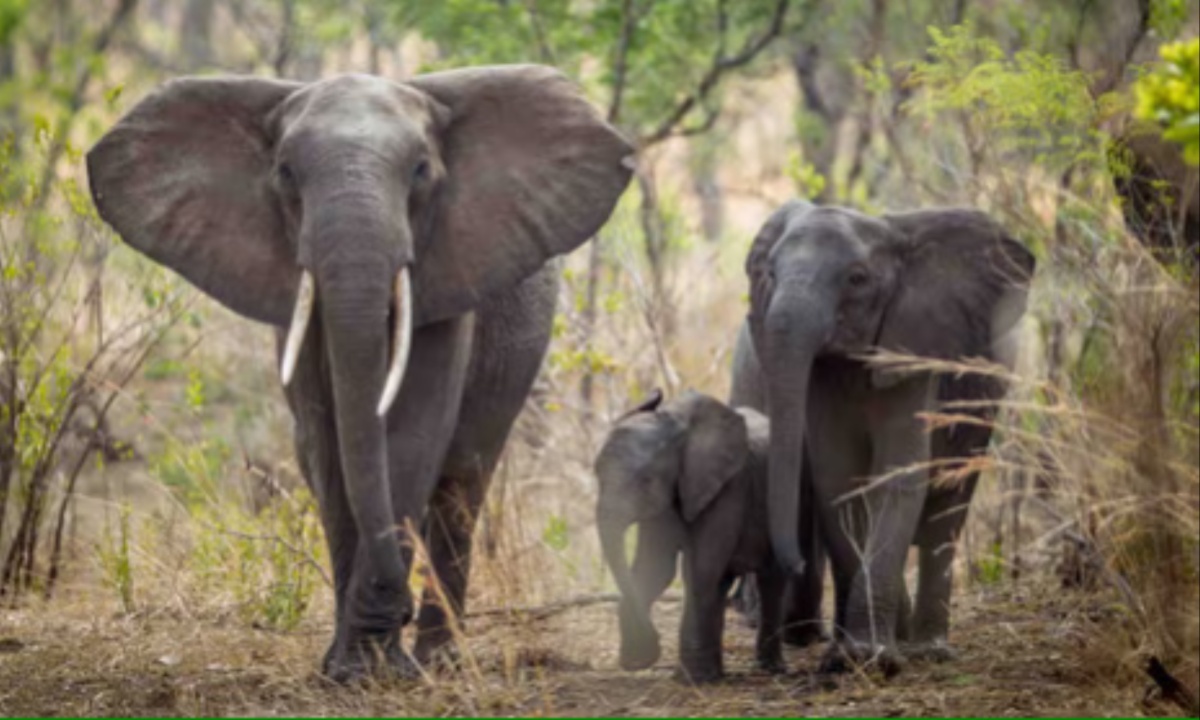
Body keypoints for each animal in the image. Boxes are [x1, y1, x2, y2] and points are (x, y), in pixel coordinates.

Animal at [87, 64, 633, 676]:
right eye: (285, 174)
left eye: (421, 171)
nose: (399, 608)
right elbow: (327, 446)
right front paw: (350, 668)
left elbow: (415, 431)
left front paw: (373, 667)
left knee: (463, 480)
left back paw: (441, 661)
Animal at [597, 391, 787, 681]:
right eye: (597, 474)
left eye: (646, 481)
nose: (652, 650)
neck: (677, 426)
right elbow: (655, 569)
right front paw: (639, 661)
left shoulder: (729, 488)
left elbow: (699, 569)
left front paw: (690, 680)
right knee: (723, 581)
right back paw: (719, 672)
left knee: (772, 579)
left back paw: (770, 668)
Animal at [734, 199, 1036, 672]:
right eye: (769, 274)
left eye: (857, 279)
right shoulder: (825, 377)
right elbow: (840, 480)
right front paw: (850, 657)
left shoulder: (914, 346)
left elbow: (899, 475)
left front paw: (869, 657)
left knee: (947, 509)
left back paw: (929, 650)